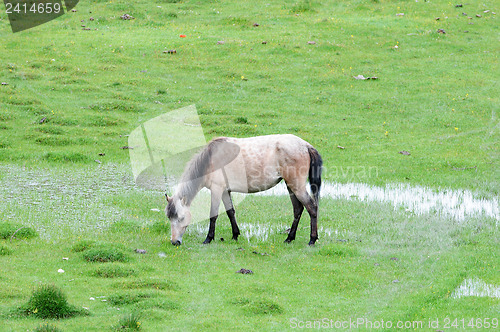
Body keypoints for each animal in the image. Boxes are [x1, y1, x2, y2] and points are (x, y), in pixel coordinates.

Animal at [166, 135, 322, 246]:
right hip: (291, 186)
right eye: (169, 218)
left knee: (312, 208)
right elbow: (230, 212)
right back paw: (289, 238)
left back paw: (312, 240)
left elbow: (213, 215)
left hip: (297, 187)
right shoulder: (225, 191)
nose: (175, 242)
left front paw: (208, 239)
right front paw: (235, 235)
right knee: (298, 210)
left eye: (181, 218)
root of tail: (306, 145)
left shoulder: (217, 189)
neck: (210, 160)